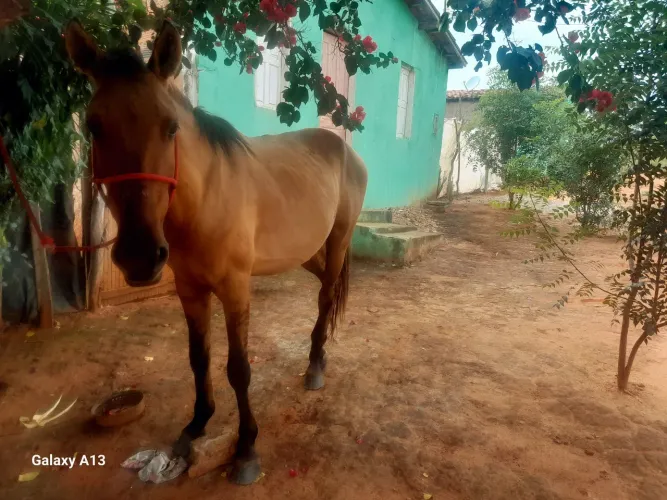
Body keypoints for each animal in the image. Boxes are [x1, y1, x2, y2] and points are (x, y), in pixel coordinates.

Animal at [64, 20, 367, 484]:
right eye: (94, 127)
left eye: (171, 127)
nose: (139, 255)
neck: (205, 198)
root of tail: (344, 149)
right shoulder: (190, 290)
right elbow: (198, 358)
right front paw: (197, 422)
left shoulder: (235, 289)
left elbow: (238, 370)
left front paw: (246, 449)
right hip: (306, 252)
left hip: (336, 243)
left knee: (325, 298)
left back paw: (316, 365)